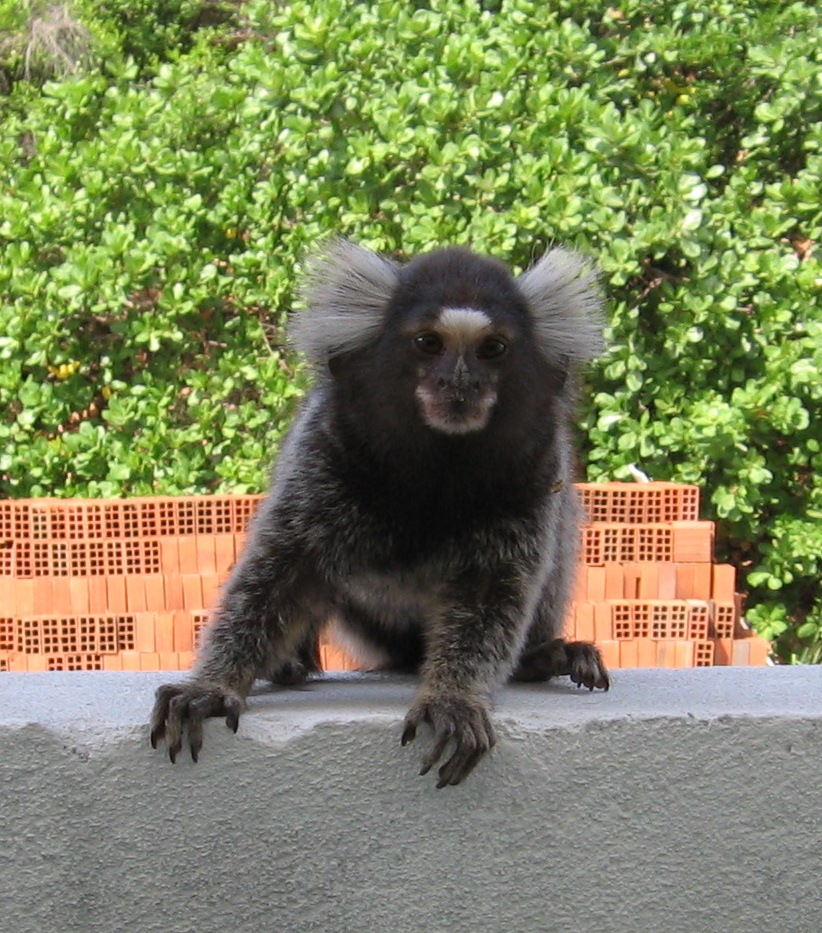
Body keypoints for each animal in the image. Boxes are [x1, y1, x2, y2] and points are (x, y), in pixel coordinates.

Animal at [148, 240, 612, 788]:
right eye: (428, 343)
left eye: (492, 349)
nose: (460, 382)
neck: (439, 465)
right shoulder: (323, 451)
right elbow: (279, 573)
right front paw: (213, 685)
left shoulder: (538, 465)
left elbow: (493, 592)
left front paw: (453, 697)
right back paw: (287, 664)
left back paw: (542, 656)